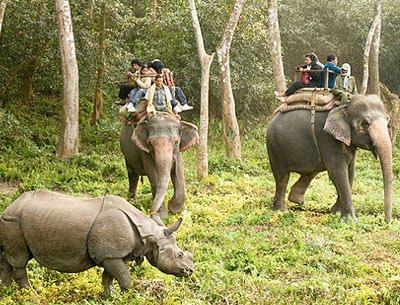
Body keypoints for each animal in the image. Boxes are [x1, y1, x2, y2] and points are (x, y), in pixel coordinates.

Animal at [0, 190, 194, 296]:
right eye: (179, 255)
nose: (190, 271)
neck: (150, 235)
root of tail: (11, 205)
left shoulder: (112, 255)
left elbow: (108, 279)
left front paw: (106, 298)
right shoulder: (110, 255)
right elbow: (125, 278)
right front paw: (127, 297)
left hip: (14, 221)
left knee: (8, 257)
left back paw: (7, 291)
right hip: (14, 221)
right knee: (19, 260)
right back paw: (31, 295)